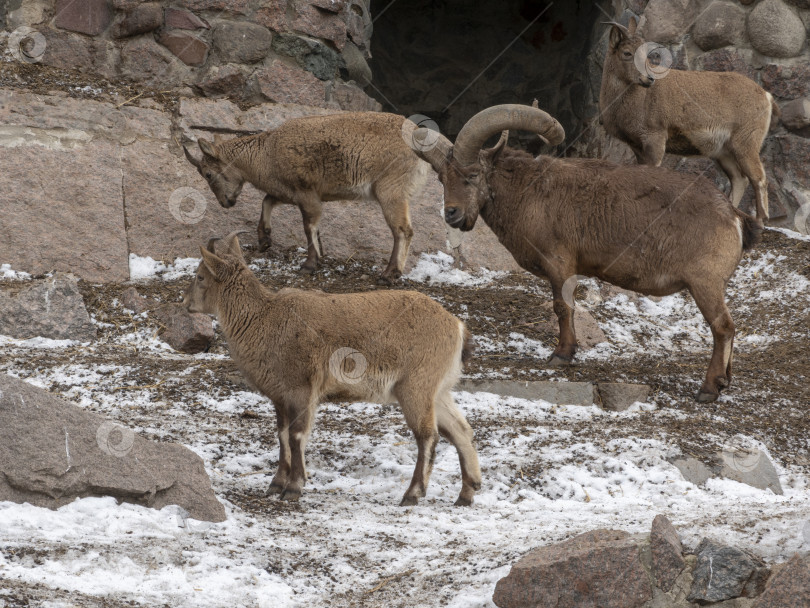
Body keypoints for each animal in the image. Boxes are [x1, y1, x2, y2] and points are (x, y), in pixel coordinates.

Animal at [181, 113, 422, 284]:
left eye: (208, 174)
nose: (225, 203)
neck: (266, 154)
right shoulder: (289, 192)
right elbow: (267, 201)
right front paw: (265, 240)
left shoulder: (307, 193)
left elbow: (309, 226)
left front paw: (309, 264)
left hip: (390, 189)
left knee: (403, 231)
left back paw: (390, 274)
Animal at [183, 230, 480, 506]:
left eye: (200, 276)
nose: (185, 303)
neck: (264, 319)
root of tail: (457, 327)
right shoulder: (280, 396)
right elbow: (281, 435)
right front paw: (276, 484)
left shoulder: (302, 388)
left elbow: (296, 435)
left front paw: (293, 488)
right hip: (437, 390)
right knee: (460, 430)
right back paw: (467, 492)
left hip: (415, 386)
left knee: (428, 436)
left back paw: (413, 493)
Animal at [408, 103, 760, 404]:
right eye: (442, 177)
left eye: (472, 175)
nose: (451, 214)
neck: (528, 191)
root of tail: (733, 216)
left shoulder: (559, 262)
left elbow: (563, 307)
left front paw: (561, 354)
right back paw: (724, 380)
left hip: (704, 283)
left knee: (723, 327)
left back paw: (709, 389)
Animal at [600, 16, 776, 221]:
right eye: (627, 52)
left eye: (646, 54)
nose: (649, 78)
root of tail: (766, 96)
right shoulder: (637, 146)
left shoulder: (656, 136)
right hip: (723, 151)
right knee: (739, 178)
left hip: (746, 142)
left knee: (759, 178)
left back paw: (762, 219)